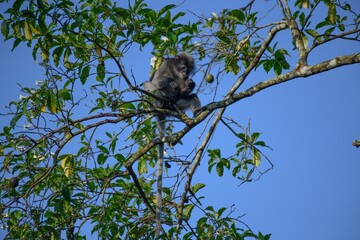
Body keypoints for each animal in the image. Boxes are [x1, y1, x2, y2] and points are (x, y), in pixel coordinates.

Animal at [143, 52, 200, 236]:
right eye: (183, 67)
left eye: (187, 69)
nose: (185, 72)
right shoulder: (166, 66)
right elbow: (158, 80)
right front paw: (170, 82)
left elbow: (185, 89)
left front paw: (189, 84)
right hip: (154, 100)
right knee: (150, 84)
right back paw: (164, 99)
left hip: (177, 107)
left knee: (190, 97)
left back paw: (197, 111)